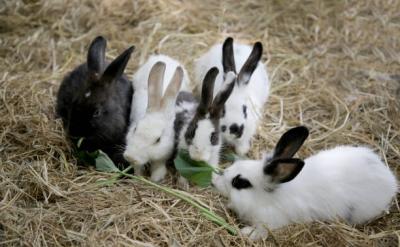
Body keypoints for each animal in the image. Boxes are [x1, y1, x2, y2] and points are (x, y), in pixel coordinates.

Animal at [212, 126, 396, 240]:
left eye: (240, 182)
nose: (216, 182)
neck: (270, 197)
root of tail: (391, 181)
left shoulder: (270, 222)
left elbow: (261, 232)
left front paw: (246, 233)